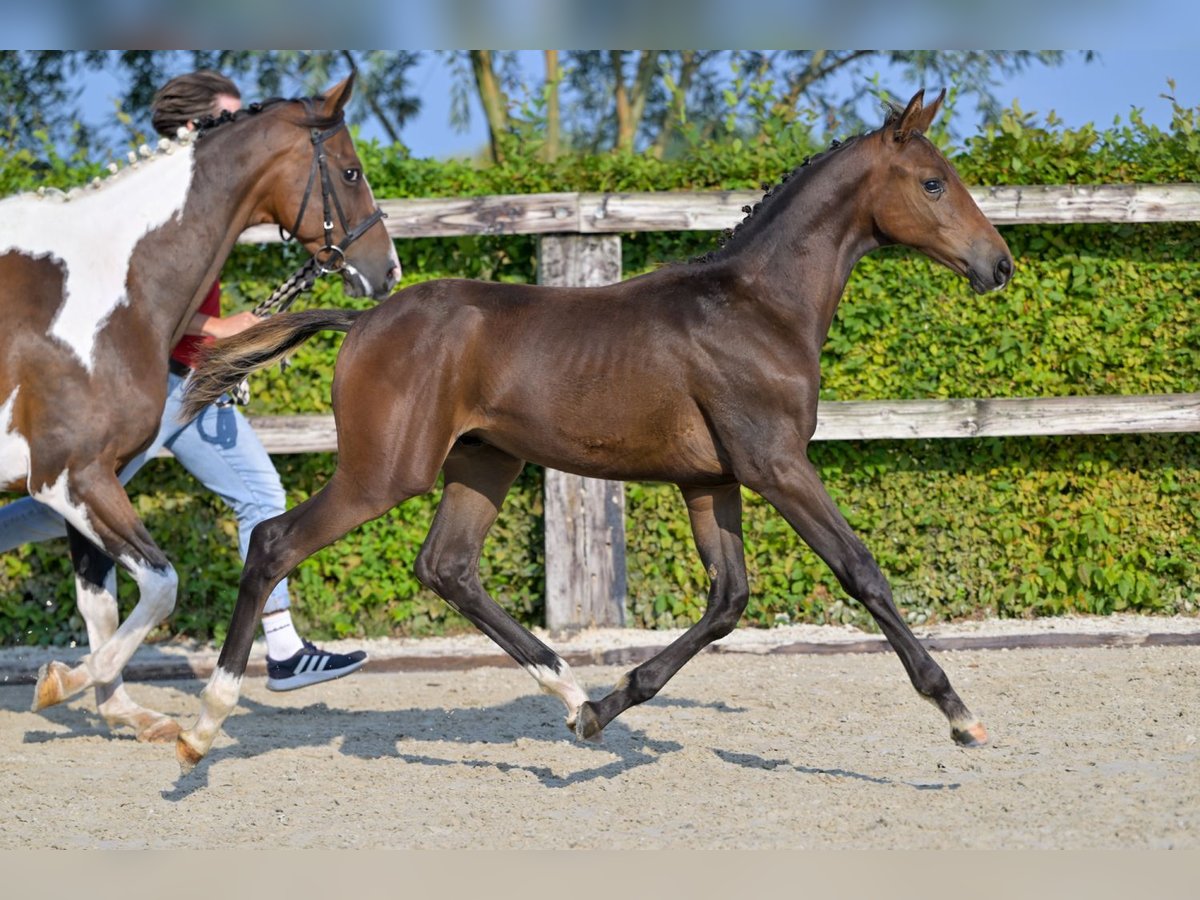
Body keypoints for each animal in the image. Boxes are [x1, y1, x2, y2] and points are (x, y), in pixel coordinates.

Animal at [0, 75, 403, 739]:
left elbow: (101, 603)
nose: (387, 269)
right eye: (350, 171)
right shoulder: (69, 476)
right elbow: (162, 585)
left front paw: (121, 710)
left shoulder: (92, 477)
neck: (106, 290)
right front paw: (63, 682)